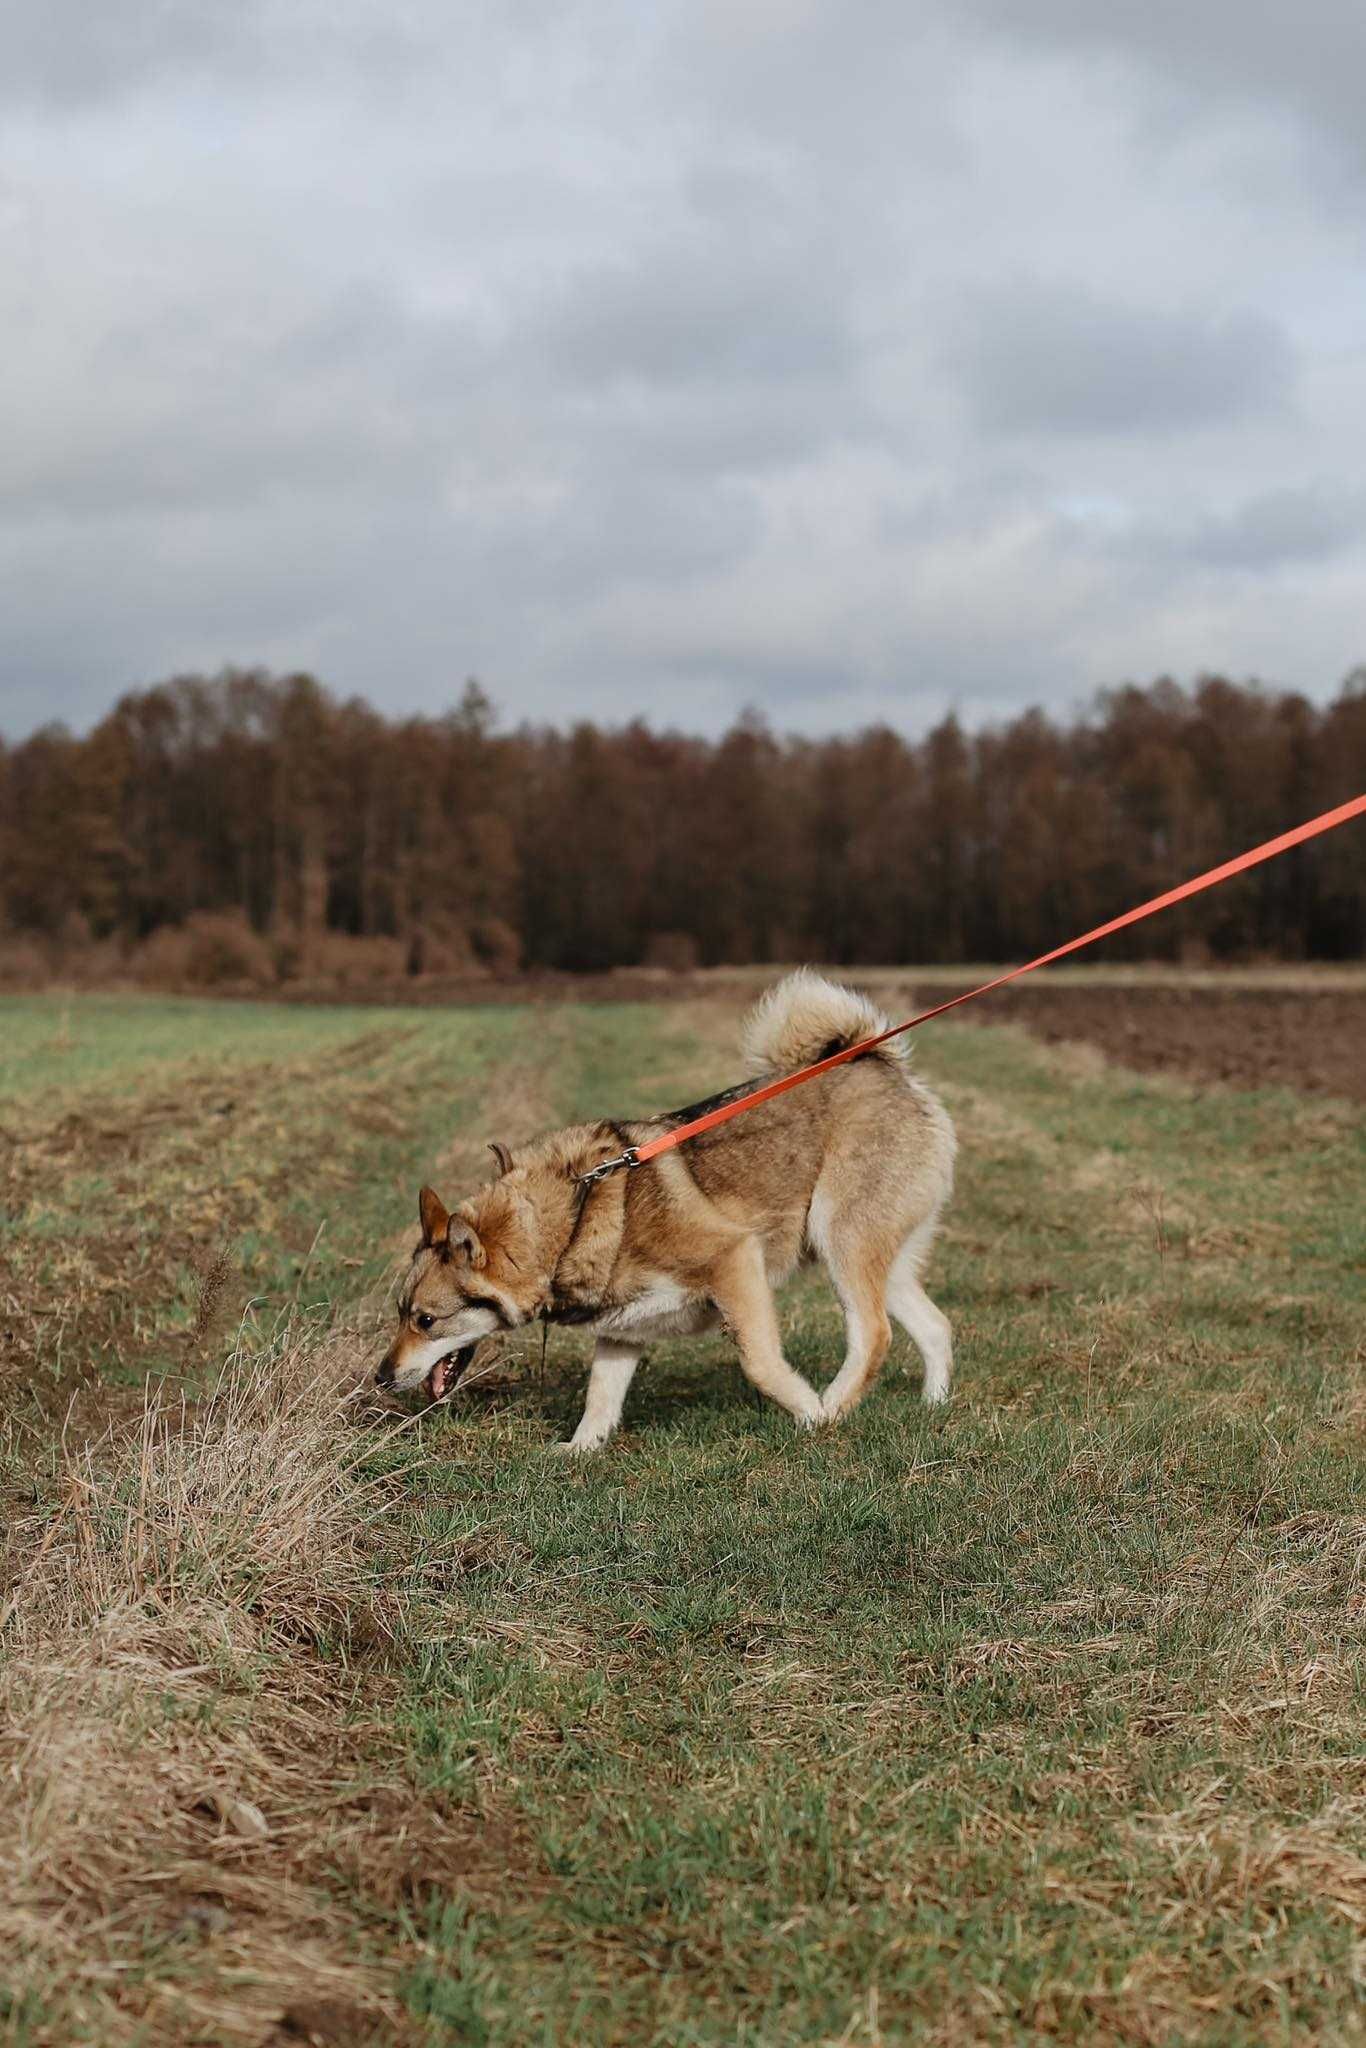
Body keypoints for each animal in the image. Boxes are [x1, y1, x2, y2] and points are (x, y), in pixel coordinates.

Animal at [374, 966, 950, 1449]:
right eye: (400, 1313)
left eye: (425, 1320)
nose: (380, 1377)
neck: (574, 1219)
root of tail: (878, 1061)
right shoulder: (620, 1329)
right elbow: (599, 1399)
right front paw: (575, 1453)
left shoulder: (734, 1261)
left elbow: (761, 1364)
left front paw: (809, 1415)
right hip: (881, 1261)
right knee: (936, 1327)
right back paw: (933, 1407)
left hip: (841, 1242)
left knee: (874, 1335)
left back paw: (834, 1407)